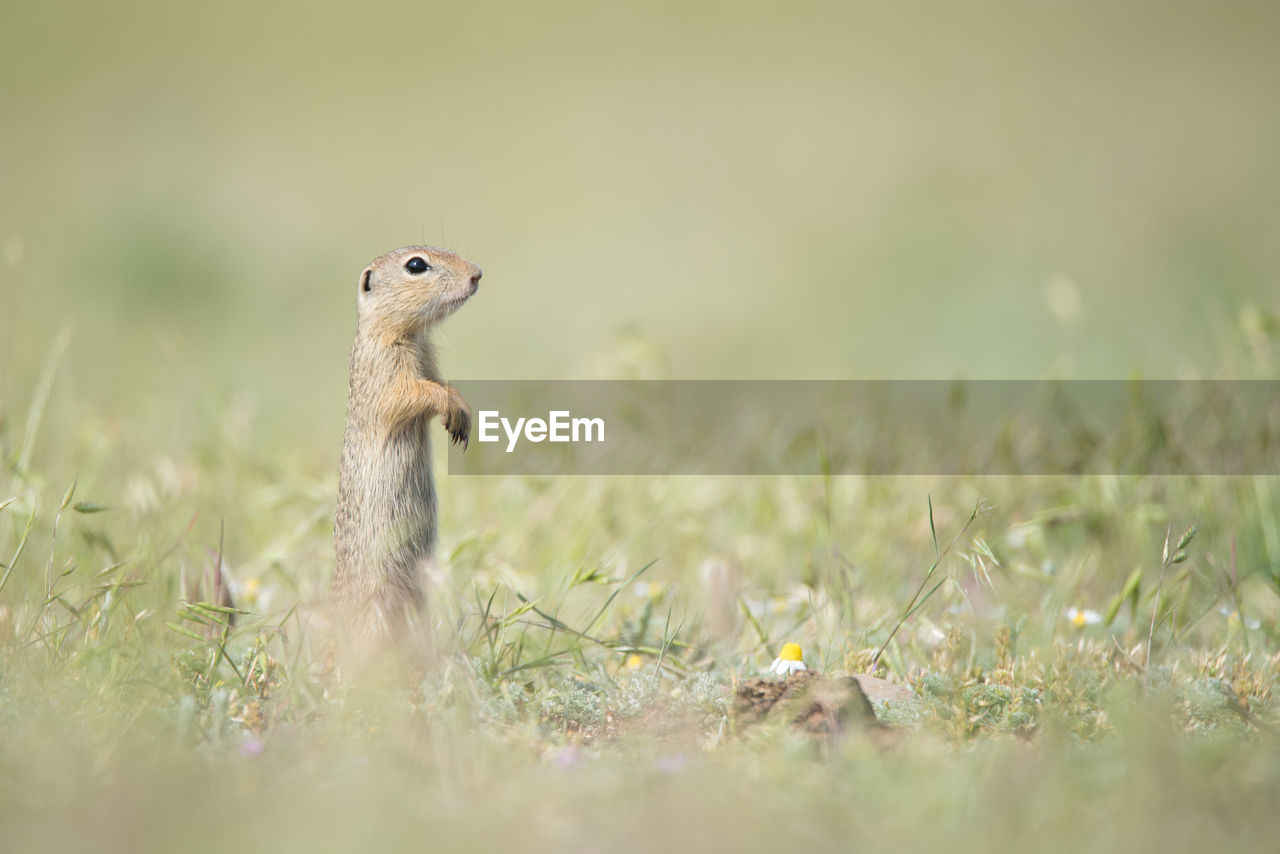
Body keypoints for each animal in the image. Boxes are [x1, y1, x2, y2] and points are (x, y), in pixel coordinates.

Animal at [332, 243, 481, 645]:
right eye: (416, 265)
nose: (477, 274)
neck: (411, 336)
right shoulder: (385, 369)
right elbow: (412, 394)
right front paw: (451, 407)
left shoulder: (429, 358)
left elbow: (439, 382)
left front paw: (463, 412)